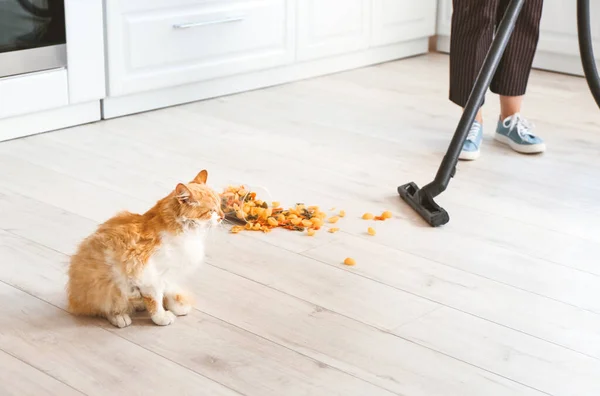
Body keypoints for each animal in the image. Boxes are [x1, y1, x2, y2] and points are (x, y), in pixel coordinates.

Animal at [66, 170, 225, 328]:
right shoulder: (149, 275)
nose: (223, 216)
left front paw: (175, 305)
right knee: (105, 306)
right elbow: (155, 300)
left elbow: (167, 290)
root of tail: (73, 296)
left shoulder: (169, 272)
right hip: (105, 284)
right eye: (211, 211)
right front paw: (161, 317)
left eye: (220, 206)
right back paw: (120, 316)